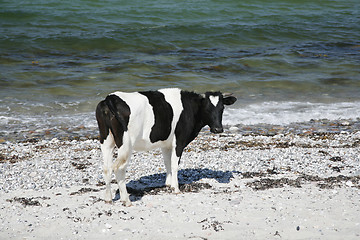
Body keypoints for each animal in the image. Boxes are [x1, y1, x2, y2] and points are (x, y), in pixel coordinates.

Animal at [95, 88, 236, 206]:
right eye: (207, 108)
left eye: (222, 108)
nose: (218, 129)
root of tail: (110, 98)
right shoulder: (179, 140)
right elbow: (174, 164)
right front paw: (176, 188)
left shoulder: (166, 143)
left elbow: (167, 162)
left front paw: (169, 184)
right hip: (126, 144)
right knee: (118, 168)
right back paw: (126, 200)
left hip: (106, 140)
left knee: (106, 168)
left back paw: (108, 198)